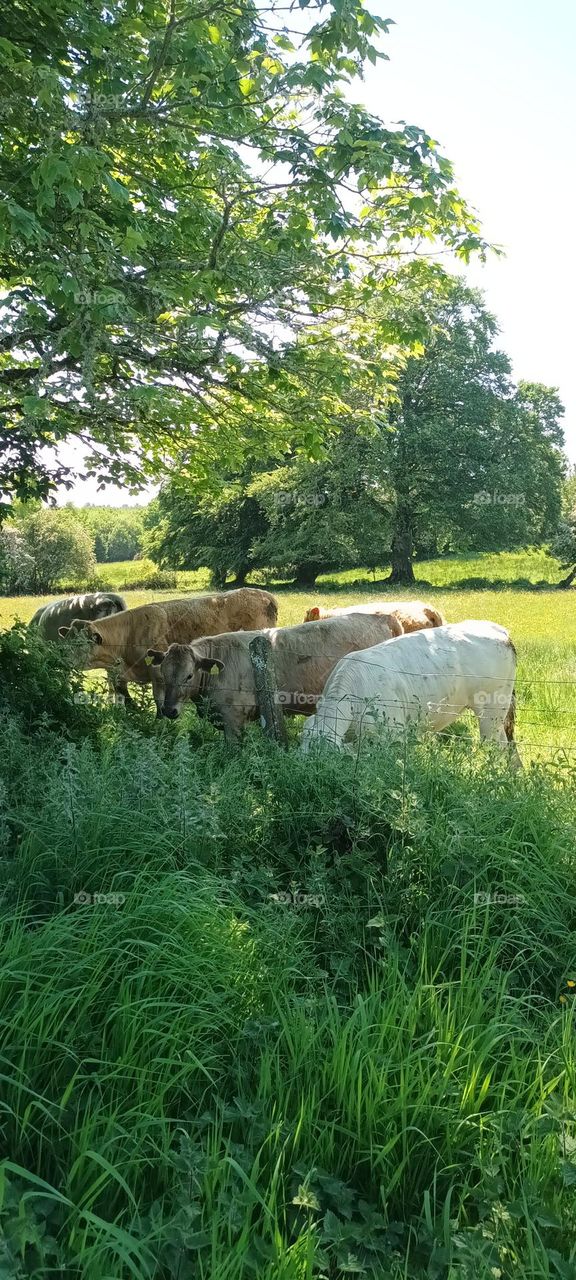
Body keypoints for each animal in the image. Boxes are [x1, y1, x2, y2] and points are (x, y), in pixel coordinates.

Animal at [56, 588, 278, 707]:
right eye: (66, 639)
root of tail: (264, 594)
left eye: (80, 643)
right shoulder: (118, 677)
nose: (60, 658)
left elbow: (160, 702)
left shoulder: (159, 674)